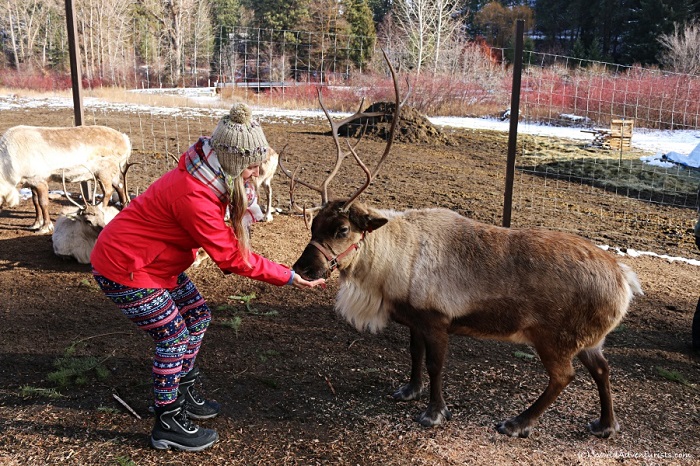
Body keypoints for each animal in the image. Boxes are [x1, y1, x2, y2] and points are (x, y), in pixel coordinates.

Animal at [0, 125, 132, 233]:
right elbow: (35, 202)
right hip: (112, 173)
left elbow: (43, 203)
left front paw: (45, 227)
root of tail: (125, 139)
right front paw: (36, 224)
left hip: (104, 173)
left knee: (108, 191)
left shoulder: (40, 180)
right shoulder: (31, 182)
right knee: (120, 187)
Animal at [283, 50, 643, 439]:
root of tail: (623, 278)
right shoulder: (414, 321)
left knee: (565, 376)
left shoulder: (438, 320)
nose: (302, 267)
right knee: (603, 369)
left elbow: (436, 367)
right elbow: (414, 355)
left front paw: (434, 412)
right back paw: (605, 424)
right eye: (313, 224)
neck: (393, 264)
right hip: (590, 339)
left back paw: (518, 422)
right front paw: (409, 390)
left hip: (555, 338)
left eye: (343, 229)